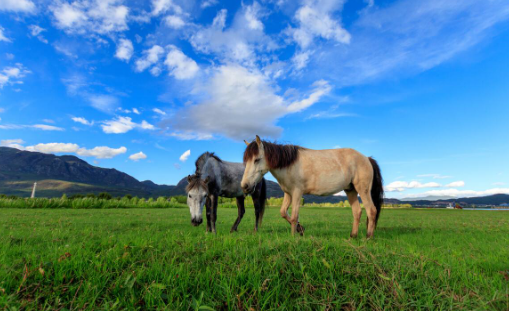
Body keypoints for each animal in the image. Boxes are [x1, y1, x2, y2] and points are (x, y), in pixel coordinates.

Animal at [240, 136, 382, 239]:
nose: (245, 186)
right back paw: (353, 236)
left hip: (363, 190)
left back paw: (368, 237)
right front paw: (300, 229)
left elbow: (294, 216)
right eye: (246, 161)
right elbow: (283, 213)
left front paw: (293, 236)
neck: (289, 164)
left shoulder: (297, 193)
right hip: (350, 190)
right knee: (357, 212)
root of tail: (367, 158)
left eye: (257, 159)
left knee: (371, 210)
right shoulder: (288, 193)